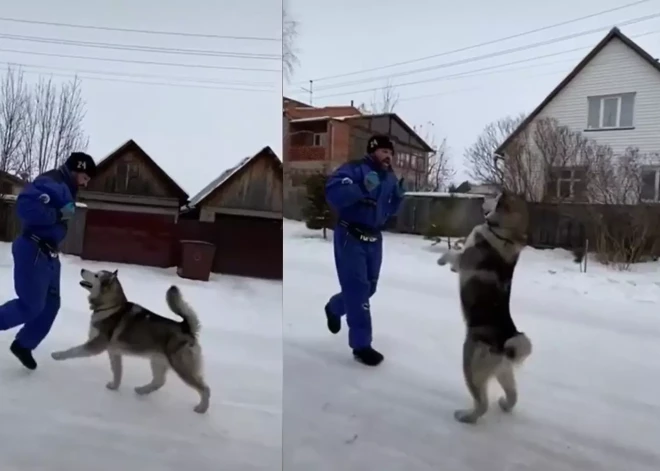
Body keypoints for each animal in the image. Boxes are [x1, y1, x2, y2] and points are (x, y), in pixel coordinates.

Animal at [51, 268, 211, 414]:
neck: (110, 306)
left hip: (181, 367)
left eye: (96, 275)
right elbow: (117, 372)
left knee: (205, 389)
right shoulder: (114, 352)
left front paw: (58, 355)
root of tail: (186, 328)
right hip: (157, 361)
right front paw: (114, 387)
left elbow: (73, 350)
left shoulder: (96, 345)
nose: (82, 269)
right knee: (159, 382)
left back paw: (202, 408)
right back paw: (142, 390)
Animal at [438, 190, 536, 426]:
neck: (504, 234)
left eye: (497, 195)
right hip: (503, 372)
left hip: (470, 366)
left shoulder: (463, 261)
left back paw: (466, 416)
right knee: (513, 395)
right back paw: (504, 405)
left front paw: (441, 260)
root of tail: (506, 339)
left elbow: (452, 255)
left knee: (481, 403)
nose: (483, 197)